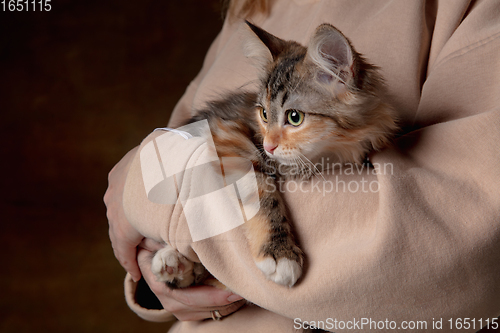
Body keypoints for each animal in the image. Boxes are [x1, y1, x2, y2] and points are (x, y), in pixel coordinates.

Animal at [150, 21, 396, 288]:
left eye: (294, 117)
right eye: (264, 114)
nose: (267, 146)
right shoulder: (227, 133)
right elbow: (262, 195)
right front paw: (279, 253)